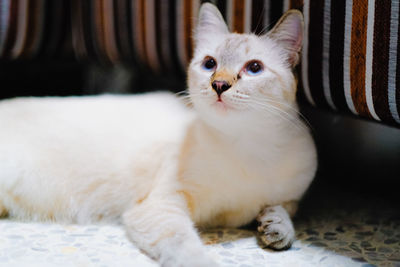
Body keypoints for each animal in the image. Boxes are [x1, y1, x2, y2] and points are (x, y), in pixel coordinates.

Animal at [0, 3, 316, 266]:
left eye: (254, 68)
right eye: (210, 64)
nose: (219, 85)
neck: (247, 146)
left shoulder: (292, 196)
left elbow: (284, 210)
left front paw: (275, 229)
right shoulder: (160, 206)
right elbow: (188, 250)